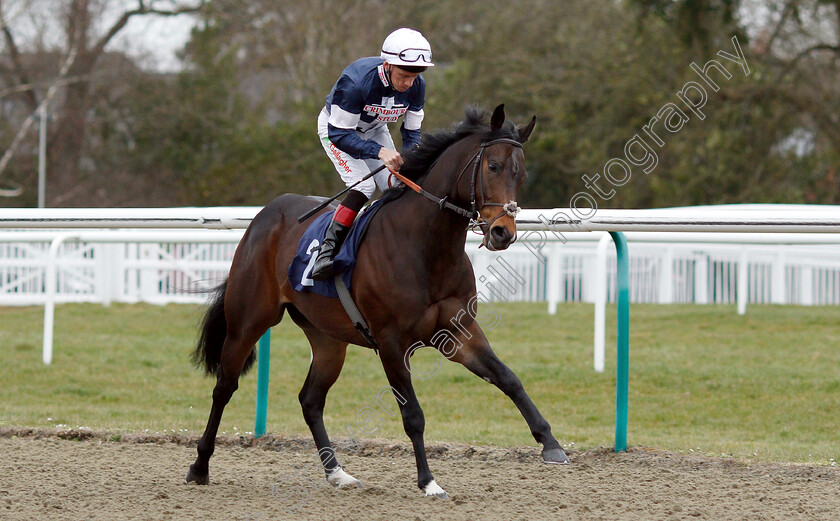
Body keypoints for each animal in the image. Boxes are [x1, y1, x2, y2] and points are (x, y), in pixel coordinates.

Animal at [189, 103, 572, 498]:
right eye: (493, 166)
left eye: (521, 173)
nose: (502, 233)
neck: (426, 247)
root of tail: (266, 214)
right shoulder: (391, 342)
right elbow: (413, 415)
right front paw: (428, 481)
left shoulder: (458, 332)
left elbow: (508, 379)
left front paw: (551, 444)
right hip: (248, 320)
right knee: (224, 387)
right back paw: (200, 466)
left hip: (327, 338)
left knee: (310, 399)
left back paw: (337, 472)